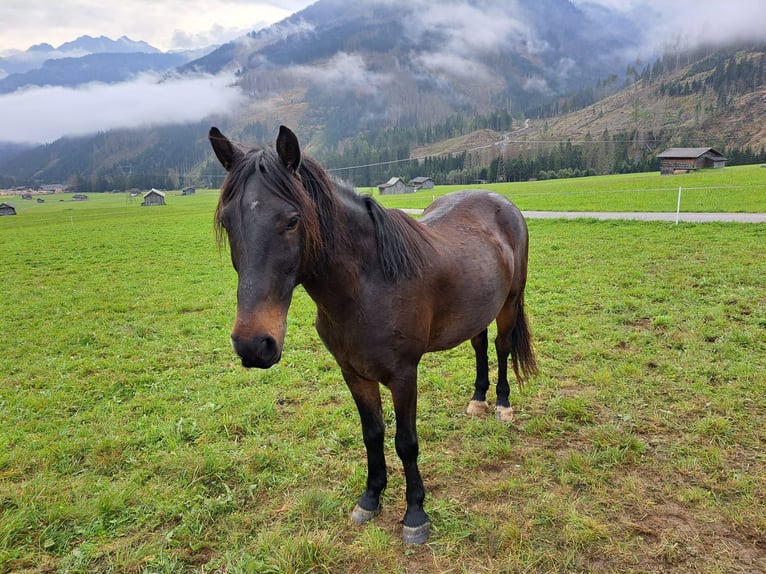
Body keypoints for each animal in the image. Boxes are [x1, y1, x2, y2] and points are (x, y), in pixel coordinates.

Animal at [207, 125, 536, 544]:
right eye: (227, 222)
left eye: (292, 220)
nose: (253, 344)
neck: (369, 284)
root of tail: (499, 200)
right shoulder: (354, 373)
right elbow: (373, 433)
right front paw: (371, 497)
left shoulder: (403, 374)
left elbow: (406, 443)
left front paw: (415, 514)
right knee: (479, 345)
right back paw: (478, 400)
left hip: (509, 302)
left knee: (502, 346)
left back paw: (502, 405)